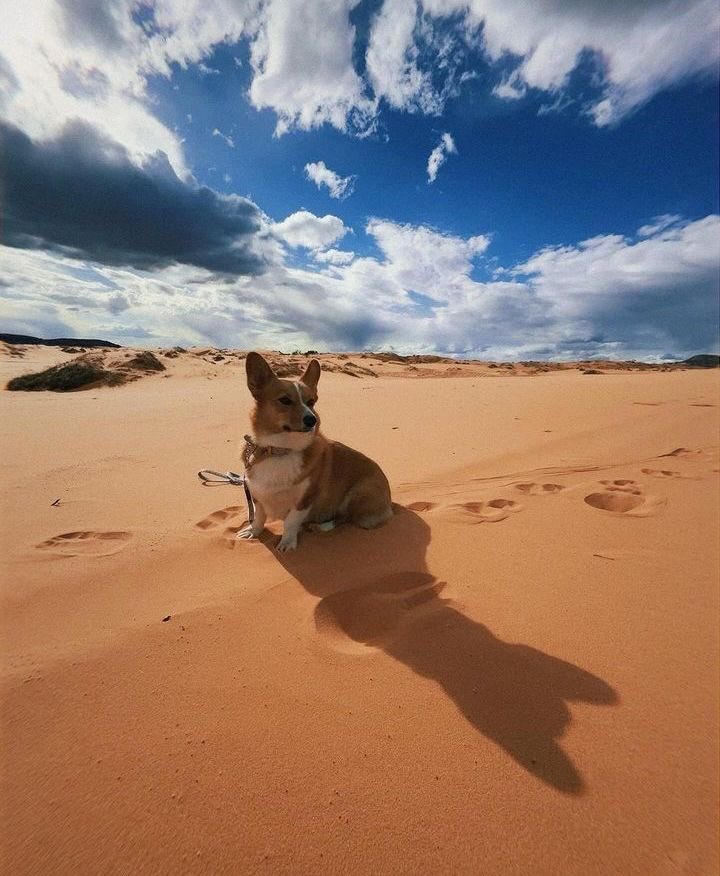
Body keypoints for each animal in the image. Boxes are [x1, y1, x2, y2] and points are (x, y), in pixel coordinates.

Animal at [239, 350, 390, 552]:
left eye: (311, 402)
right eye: (285, 400)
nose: (312, 420)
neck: (281, 449)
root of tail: (390, 503)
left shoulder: (305, 499)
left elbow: (290, 522)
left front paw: (287, 543)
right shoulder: (257, 494)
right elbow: (259, 517)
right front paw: (253, 532)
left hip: (357, 495)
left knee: (345, 518)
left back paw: (321, 526)